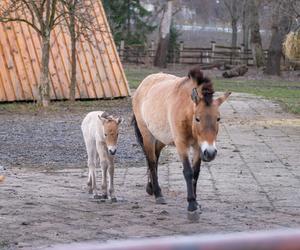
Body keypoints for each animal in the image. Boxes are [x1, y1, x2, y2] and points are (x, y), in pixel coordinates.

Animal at [131, 67, 230, 221]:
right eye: (197, 118)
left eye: (218, 118)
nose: (210, 153)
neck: (185, 109)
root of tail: (142, 85)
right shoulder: (181, 144)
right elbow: (188, 172)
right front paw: (192, 206)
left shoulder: (198, 147)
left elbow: (196, 173)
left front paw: (196, 202)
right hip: (148, 135)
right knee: (151, 161)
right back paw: (158, 193)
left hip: (161, 139)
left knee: (155, 157)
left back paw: (151, 188)